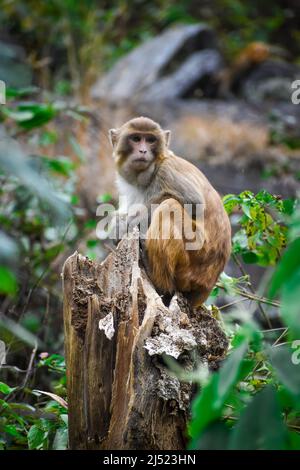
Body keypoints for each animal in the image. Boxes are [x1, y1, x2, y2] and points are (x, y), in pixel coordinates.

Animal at [108, 116, 232, 308]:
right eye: (136, 138)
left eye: (150, 140)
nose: (143, 150)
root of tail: (205, 290)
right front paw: (119, 224)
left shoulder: (169, 170)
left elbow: (194, 203)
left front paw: (127, 223)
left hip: (196, 259)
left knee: (170, 206)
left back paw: (160, 283)